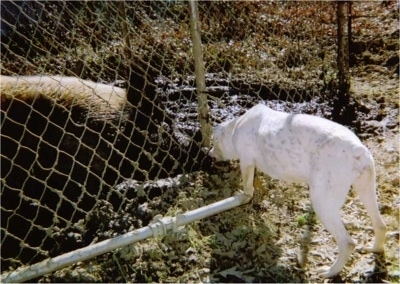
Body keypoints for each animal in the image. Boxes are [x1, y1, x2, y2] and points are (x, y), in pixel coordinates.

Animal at [211, 103, 386, 278]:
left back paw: (329, 272)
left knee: (347, 243)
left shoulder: (246, 162)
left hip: (323, 204)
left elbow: (248, 189)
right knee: (381, 225)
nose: (209, 153)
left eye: (214, 142)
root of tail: (359, 150)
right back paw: (374, 249)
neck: (236, 126)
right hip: (366, 190)